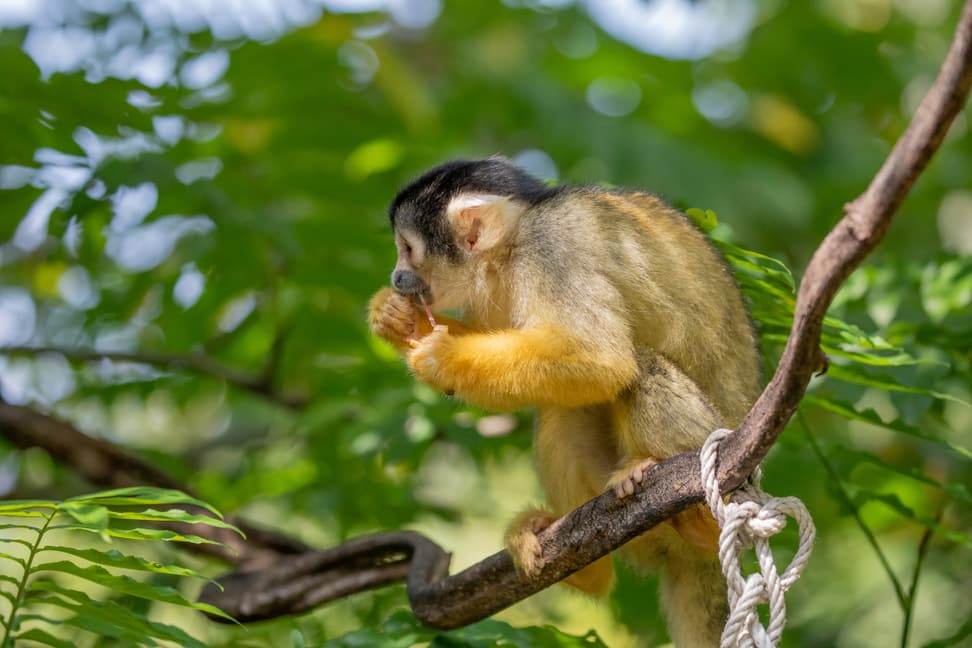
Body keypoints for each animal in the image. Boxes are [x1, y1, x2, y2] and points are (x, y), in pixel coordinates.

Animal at [368, 158, 764, 648]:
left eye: (407, 249)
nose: (396, 278)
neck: (513, 244)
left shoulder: (554, 251)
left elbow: (600, 360)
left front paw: (443, 358)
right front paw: (392, 317)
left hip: (717, 446)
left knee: (638, 367)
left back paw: (688, 508)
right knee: (563, 408)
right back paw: (584, 569)